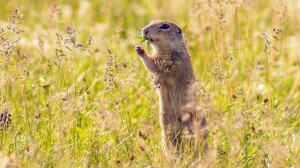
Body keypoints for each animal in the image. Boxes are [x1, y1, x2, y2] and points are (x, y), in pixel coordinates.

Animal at [135, 21, 206, 156]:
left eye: (165, 26)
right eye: (150, 22)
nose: (145, 31)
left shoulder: (174, 63)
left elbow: (158, 69)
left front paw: (141, 50)